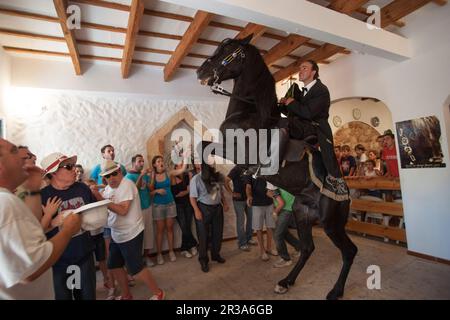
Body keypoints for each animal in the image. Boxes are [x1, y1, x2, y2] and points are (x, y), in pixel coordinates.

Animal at [197, 35, 358, 300]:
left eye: (227, 49)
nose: (201, 71)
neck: (250, 111)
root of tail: (347, 193)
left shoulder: (239, 151)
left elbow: (203, 146)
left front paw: (208, 178)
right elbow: (202, 145)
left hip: (331, 224)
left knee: (349, 251)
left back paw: (335, 291)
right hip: (303, 213)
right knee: (308, 248)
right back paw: (286, 281)